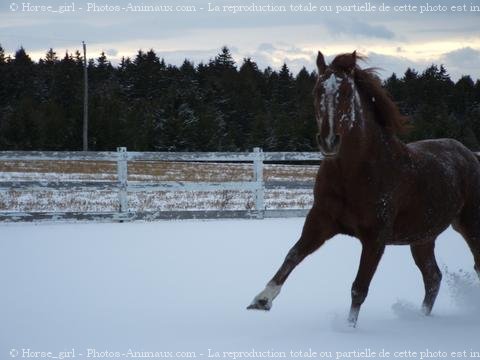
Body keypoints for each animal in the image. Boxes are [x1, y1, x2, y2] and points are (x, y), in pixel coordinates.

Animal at [248, 50, 480, 326]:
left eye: (347, 92)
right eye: (317, 90)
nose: (329, 141)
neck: (353, 174)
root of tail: (469, 154)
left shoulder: (375, 237)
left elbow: (359, 288)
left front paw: (349, 329)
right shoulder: (320, 221)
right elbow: (292, 255)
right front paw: (262, 299)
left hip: (470, 225)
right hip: (423, 238)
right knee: (432, 277)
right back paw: (421, 318)